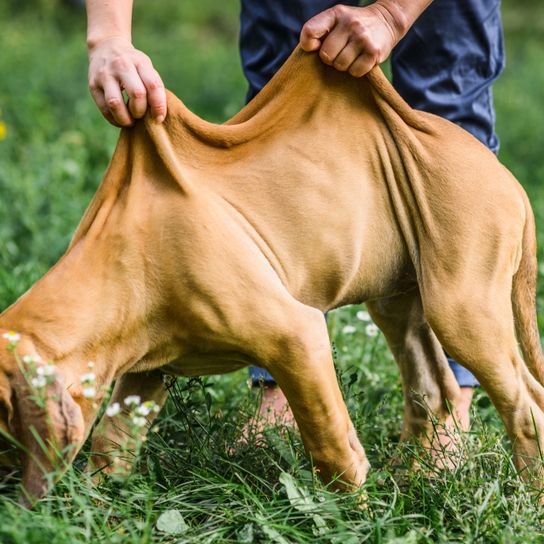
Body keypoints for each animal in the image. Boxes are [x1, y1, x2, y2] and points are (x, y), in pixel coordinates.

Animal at [1, 49, 544, 504]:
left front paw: (353, 520)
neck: (123, 253)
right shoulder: (144, 371)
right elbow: (111, 447)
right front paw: (97, 513)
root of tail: (509, 181)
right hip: (402, 302)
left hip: (462, 308)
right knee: (435, 388)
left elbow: (331, 448)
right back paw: (412, 478)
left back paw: (526, 501)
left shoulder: (297, 338)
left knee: (526, 408)